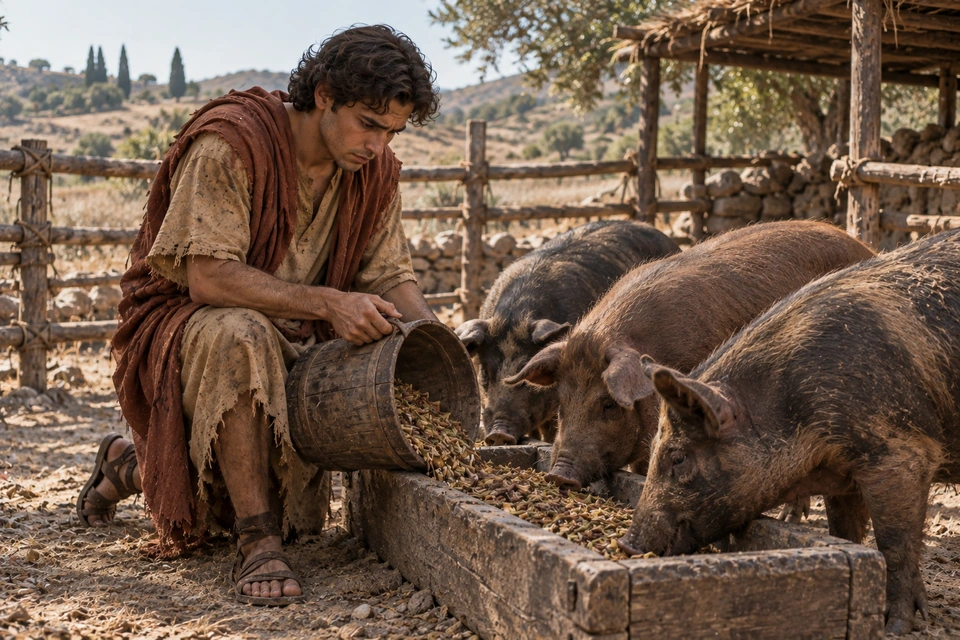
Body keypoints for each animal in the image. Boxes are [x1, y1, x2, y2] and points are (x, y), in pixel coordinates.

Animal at [619, 228, 960, 635]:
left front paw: (895, 626)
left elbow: (894, 542)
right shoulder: (845, 475)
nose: (626, 546)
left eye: (678, 457)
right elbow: (843, 531)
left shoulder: (900, 454)